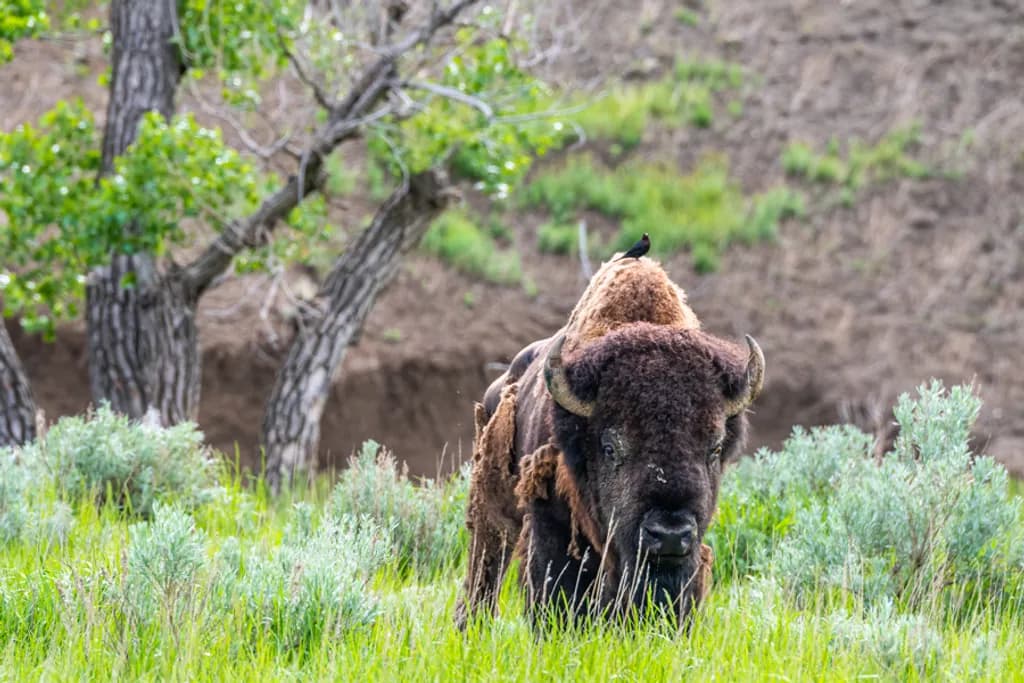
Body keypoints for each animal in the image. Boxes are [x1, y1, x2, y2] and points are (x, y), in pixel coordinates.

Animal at [455, 256, 765, 628]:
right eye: (611, 448)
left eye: (714, 448)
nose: (670, 534)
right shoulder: (551, 524)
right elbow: (554, 584)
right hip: (492, 500)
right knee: (487, 557)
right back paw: (471, 624)